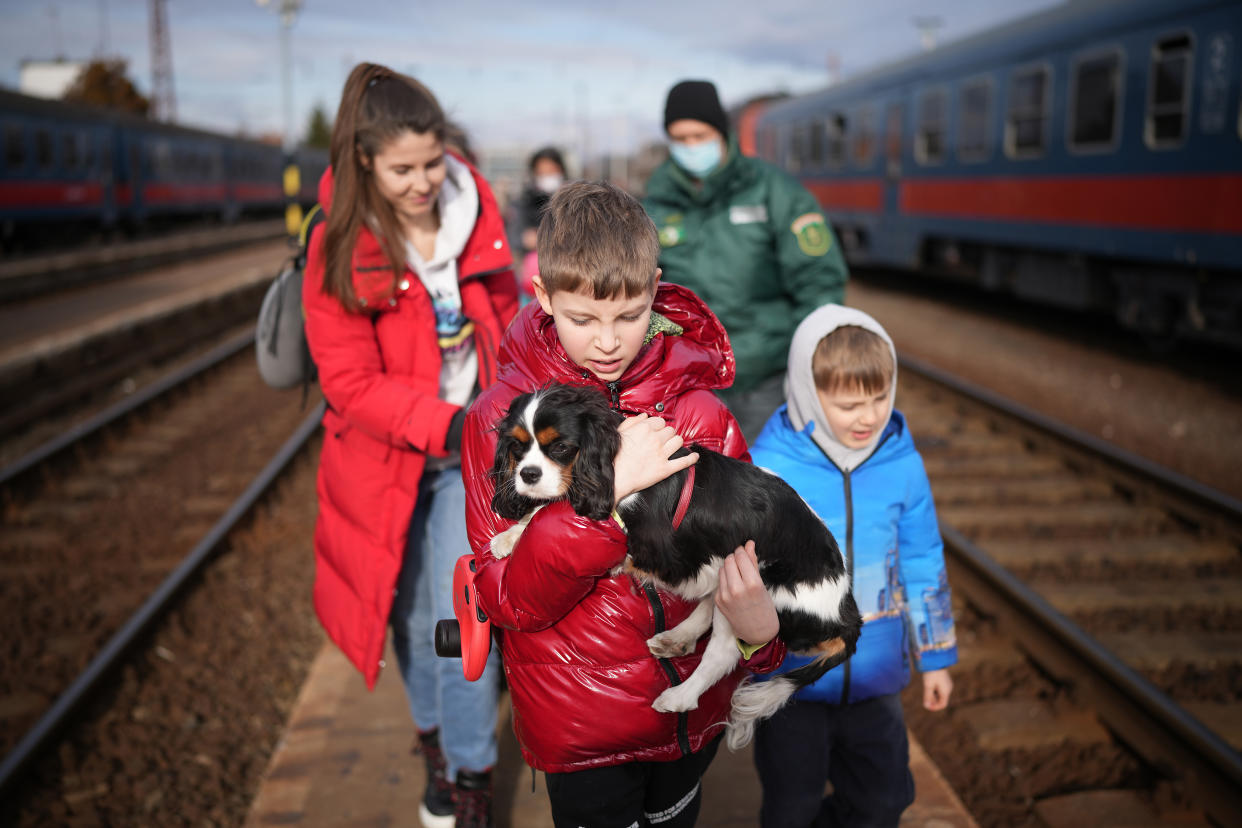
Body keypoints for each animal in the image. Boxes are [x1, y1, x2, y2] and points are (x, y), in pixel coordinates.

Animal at [486, 382, 864, 749]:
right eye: (517, 447)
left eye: (561, 447)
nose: (527, 474)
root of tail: (845, 612)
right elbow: (548, 509)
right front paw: (511, 536)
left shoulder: (656, 548)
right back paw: (677, 639)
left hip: (757, 588)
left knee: (723, 652)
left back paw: (679, 696)